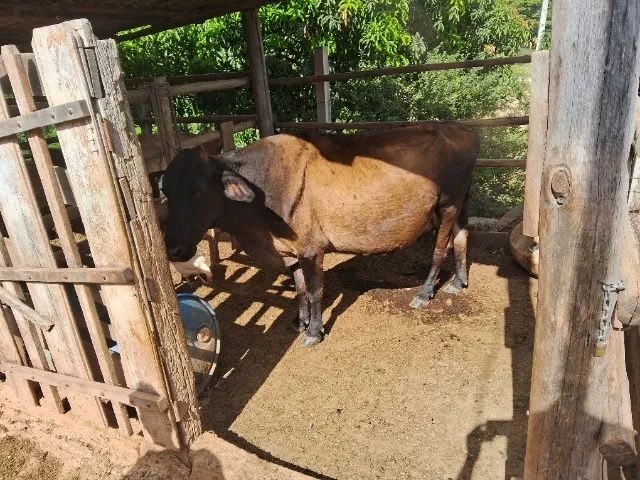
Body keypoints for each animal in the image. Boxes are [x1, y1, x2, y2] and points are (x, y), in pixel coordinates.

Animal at [162, 124, 479, 347]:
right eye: (165, 192)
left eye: (197, 190)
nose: (172, 249)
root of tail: (464, 131)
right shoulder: (292, 250)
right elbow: (300, 288)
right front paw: (299, 321)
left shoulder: (312, 248)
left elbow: (315, 290)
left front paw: (314, 331)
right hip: (462, 201)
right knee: (462, 236)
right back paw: (457, 281)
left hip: (448, 203)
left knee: (440, 249)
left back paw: (424, 293)